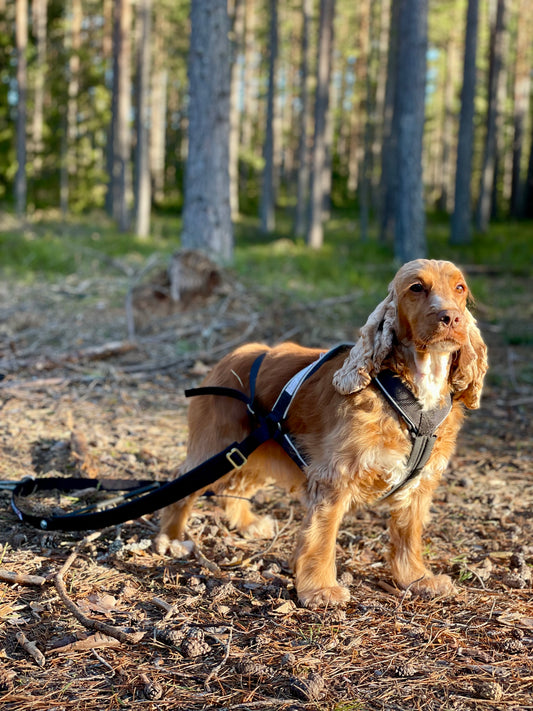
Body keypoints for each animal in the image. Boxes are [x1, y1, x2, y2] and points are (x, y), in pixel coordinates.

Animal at [154, 258, 486, 608]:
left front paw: (418, 579)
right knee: (181, 484)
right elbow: (321, 538)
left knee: (237, 484)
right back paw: (171, 538)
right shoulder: (334, 477)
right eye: (417, 287)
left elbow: (408, 536)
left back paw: (248, 523)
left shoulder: (419, 485)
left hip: (255, 449)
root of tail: (231, 356)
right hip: (215, 445)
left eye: (460, 288)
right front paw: (320, 589)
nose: (451, 317)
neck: (414, 392)